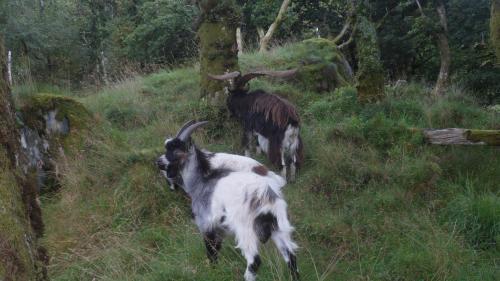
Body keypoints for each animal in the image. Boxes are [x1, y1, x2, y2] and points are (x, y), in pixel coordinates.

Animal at [164, 120, 298, 280]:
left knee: (255, 261)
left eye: (173, 149)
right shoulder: (220, 230)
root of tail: (266, 197)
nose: (160, 164)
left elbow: (211, 253)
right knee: (291, 257)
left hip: (246, 230)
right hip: (279, 227)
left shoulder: (207, 224)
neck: (200, 182)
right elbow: (216, 250)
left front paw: (212, 272)